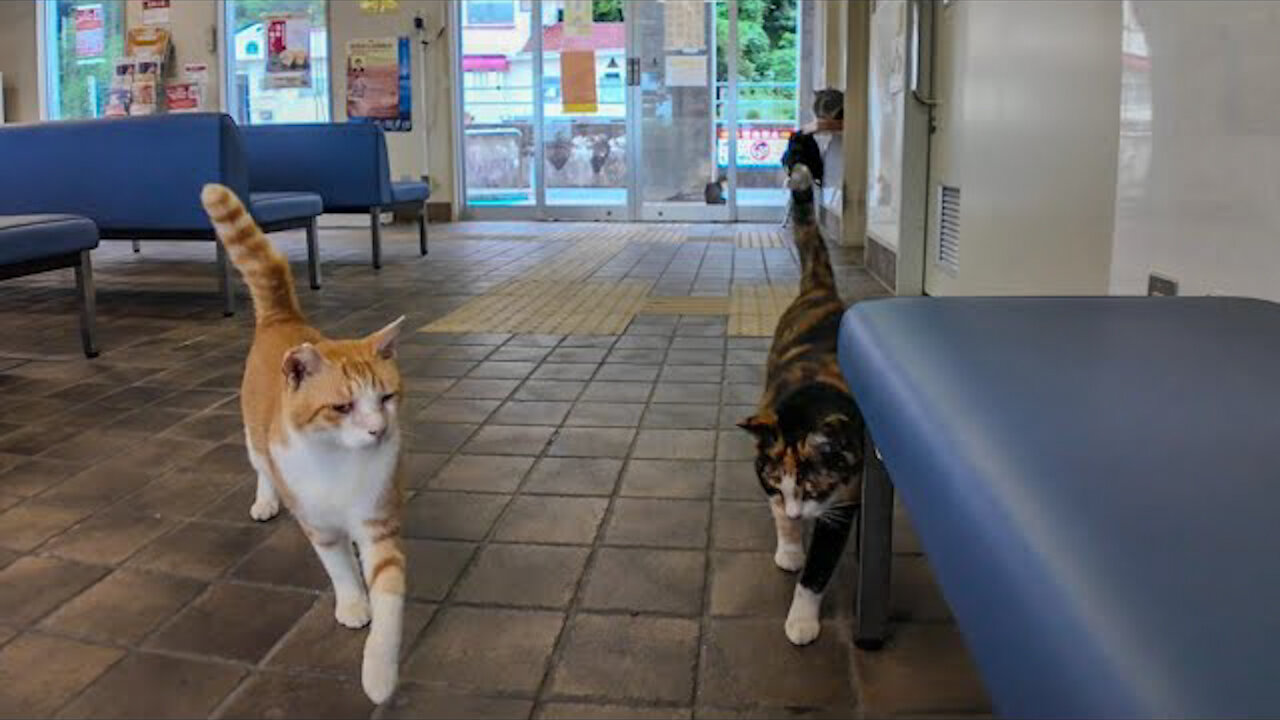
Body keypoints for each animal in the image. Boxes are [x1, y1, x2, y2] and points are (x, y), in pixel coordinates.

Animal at [199, 180, 404, 702]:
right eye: (342, 407)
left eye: (386, 397)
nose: (378, 430)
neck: (340, 464)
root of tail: (282, 319)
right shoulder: (319, 525)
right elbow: (339, 569)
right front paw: (352, 603)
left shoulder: (378, 523)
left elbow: (388, 600)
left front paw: (379, 672)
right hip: (254, 437)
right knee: (261, 468)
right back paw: (266, 500)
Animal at [737, 134, 865, 645]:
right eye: (777, 482)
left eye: (814, 489)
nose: (797, 515)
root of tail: (820, 290)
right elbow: (777, 517)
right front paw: (790, 547)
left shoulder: (844, 501)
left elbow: (819, 570)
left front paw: (802, 620)